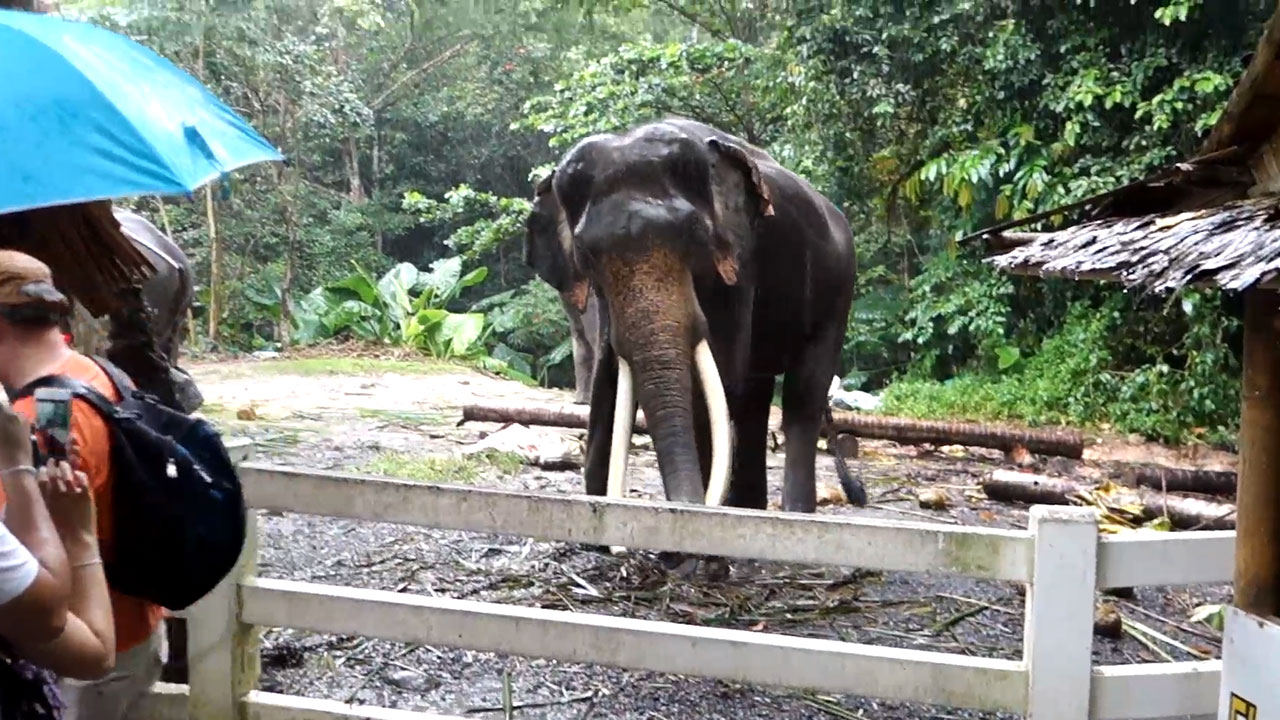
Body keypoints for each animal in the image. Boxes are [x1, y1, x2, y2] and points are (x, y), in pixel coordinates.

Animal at [534, 117, 856, 520]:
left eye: (695, 236)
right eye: (586, 254)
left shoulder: (740, 264)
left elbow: (718, 377)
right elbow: (607, 381)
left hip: (838, 291)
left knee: (802, 394)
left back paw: (793, 513)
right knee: (756, 395)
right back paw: (749, 507)